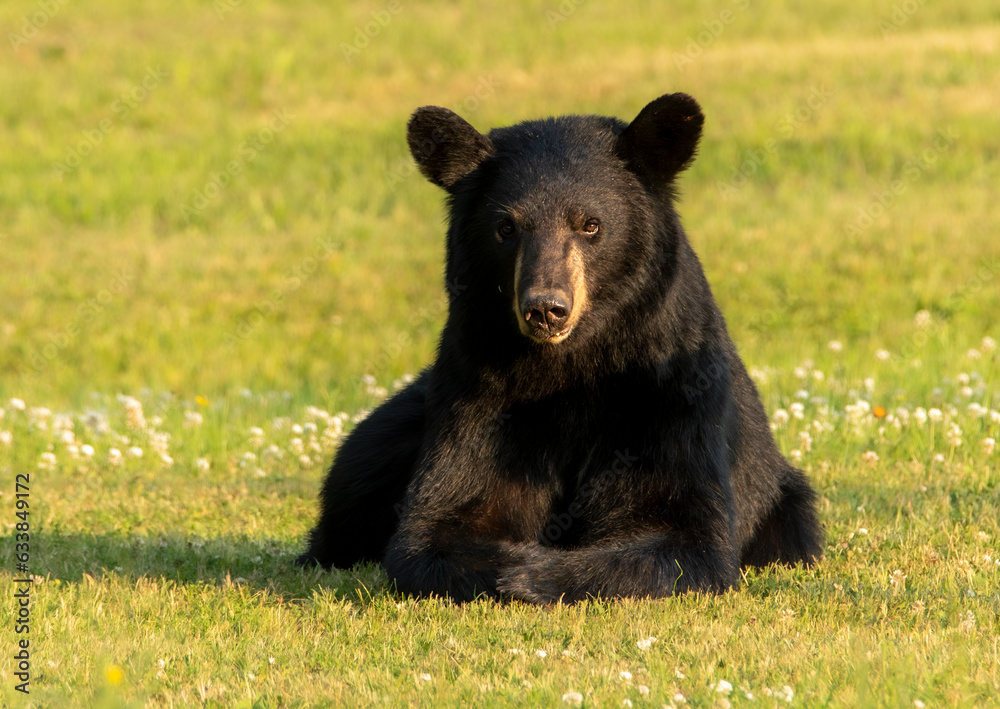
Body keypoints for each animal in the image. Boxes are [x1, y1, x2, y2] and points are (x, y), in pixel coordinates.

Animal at [296, 92, 823, 604]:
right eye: (506, 227)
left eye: (591, 225)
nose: (545, 308)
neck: (569, 366)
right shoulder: (476, 392)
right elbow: (435, 524)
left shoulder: (670, 395)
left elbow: (682, 534)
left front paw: (533, 573)